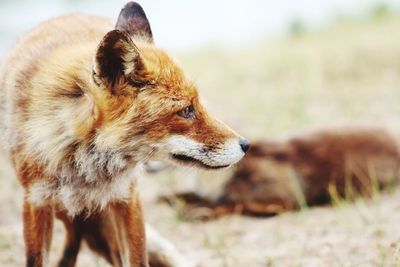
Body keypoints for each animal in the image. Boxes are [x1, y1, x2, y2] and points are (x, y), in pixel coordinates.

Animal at [0, 2, 250, 267]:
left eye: (197, 105)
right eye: (186, 111)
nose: (246, 144)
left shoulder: (126, 197)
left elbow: (137, 258)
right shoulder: (35, 202)